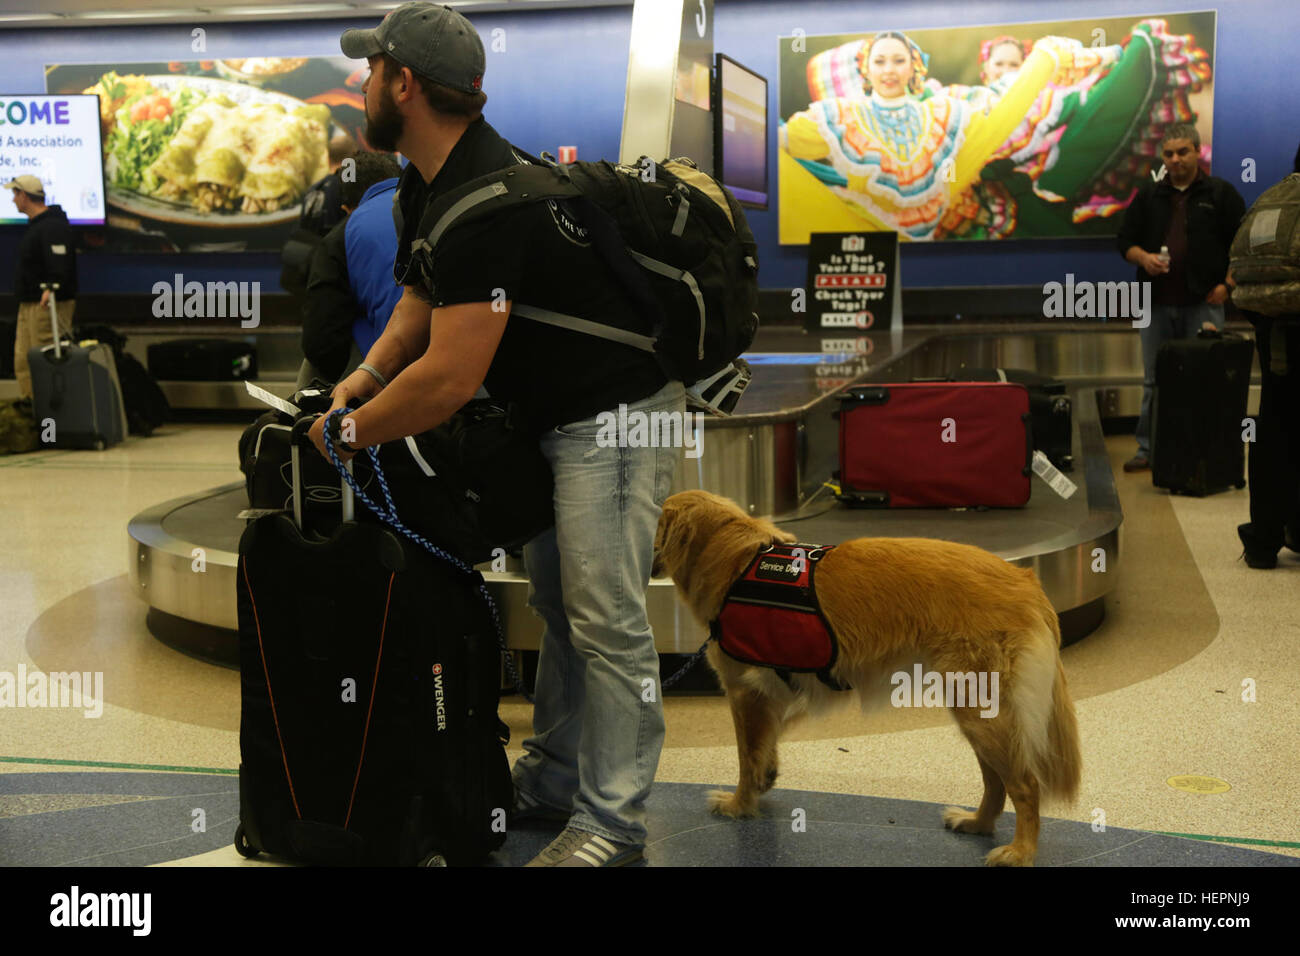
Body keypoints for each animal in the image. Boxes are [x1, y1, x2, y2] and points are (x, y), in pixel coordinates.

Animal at [655, 489, 1081, 868]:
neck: (734, 559)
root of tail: (1024, 579)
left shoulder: (745, 693)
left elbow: (747, 757)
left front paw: (739, 805)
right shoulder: (782, 691)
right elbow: (767, 743)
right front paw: (765, 778)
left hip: (980, 711)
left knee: (1024, 784)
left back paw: (1020, 851)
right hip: (976, 709)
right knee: (996, 781)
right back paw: (978, 823)